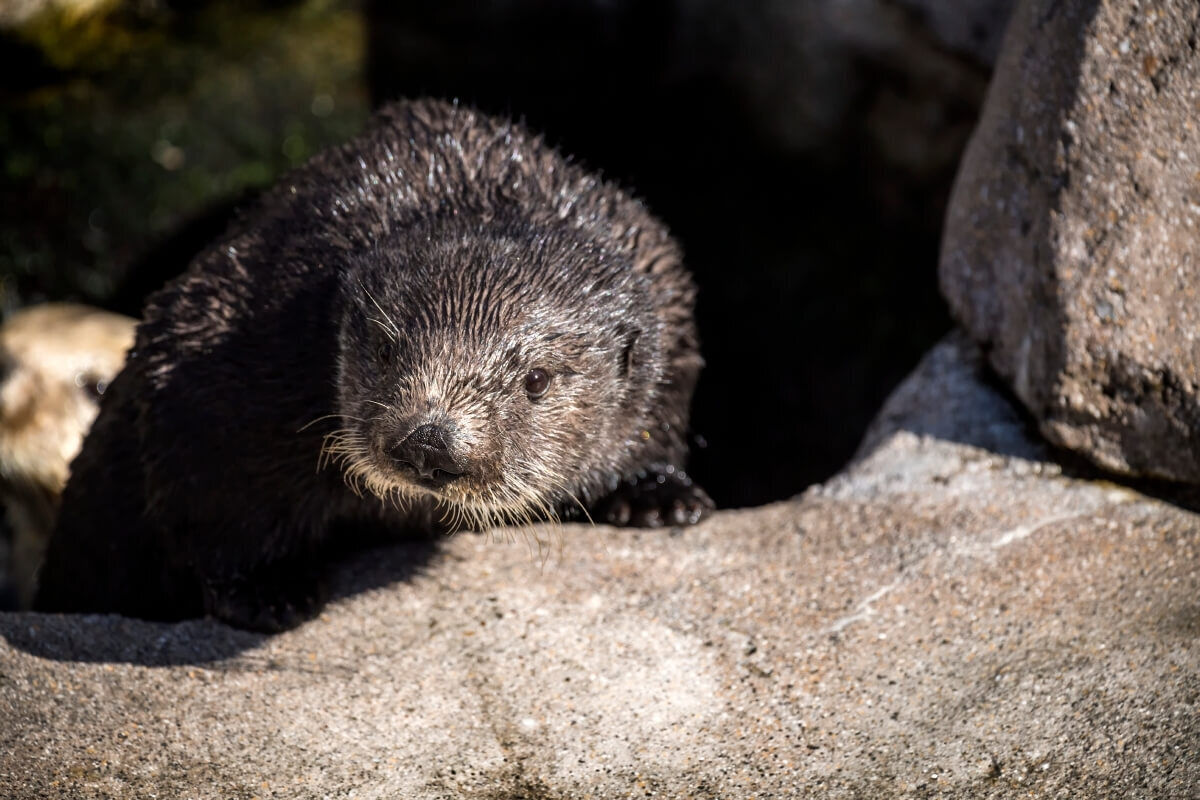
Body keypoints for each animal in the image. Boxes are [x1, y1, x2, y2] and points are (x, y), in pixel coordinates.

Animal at [35, 99, 711, 632]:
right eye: (386, 349)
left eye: (536, 379)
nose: (430, 443)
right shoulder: (230, 336)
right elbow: (212, 477)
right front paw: (267, 590)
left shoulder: (664, 283)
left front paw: (656, 496)